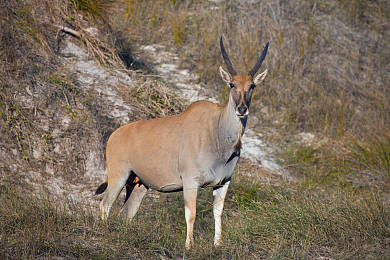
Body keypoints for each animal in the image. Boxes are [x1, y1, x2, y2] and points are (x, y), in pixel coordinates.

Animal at [94, 37, 268, 250]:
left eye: (252, 86)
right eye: (231, 84)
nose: (242, 109)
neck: (217, 131)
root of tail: (115, 135)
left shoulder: (223, 183)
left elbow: (217, 213)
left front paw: (217, 245)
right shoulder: (190, 181)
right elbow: (191, 214)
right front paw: (188, 246)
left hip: (139, 185)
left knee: (126, 213)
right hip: (118, 176)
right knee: (105, 205)